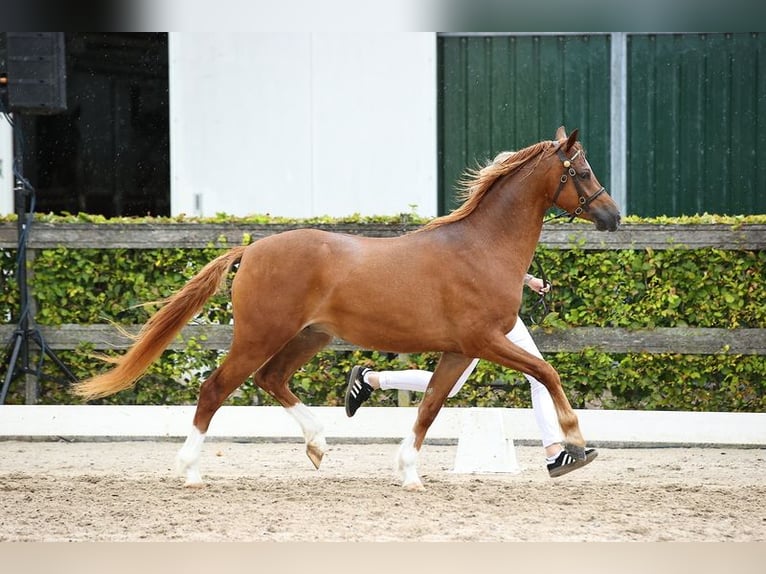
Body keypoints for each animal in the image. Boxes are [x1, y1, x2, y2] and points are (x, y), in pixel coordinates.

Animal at [73, 126, 621, 491]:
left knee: (271, 380)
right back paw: (190, 471)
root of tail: (251, 251)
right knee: (215, 389)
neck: (481, 247)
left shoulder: (461, 350)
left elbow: (430, 405)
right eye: (583, 171)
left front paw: (409, 474)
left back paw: (319, 443)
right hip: (259, 335)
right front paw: (575, 444)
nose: (613, 216)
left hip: (309, 336)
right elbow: (546, 373)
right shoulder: (483, 340)